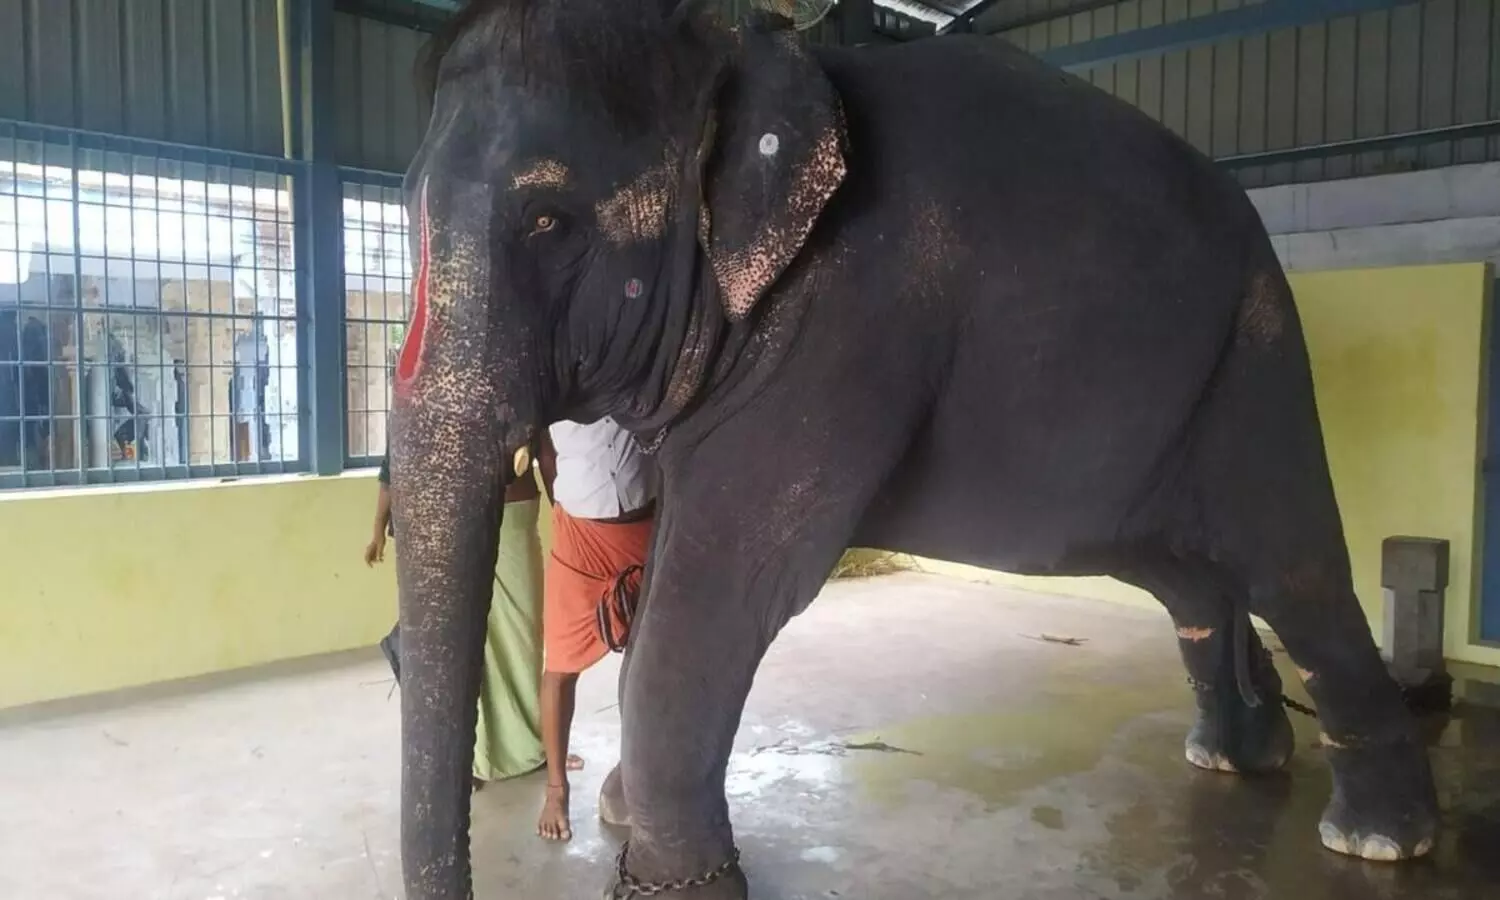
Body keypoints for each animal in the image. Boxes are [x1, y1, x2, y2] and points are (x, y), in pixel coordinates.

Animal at [386, 1, 1440, 897]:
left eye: (547, 220)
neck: (734, 49)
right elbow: (668, 573)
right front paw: (623, 817)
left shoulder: (847, 324)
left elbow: (719, 590)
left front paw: (673, 876)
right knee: (1189, 580)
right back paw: (1239, 757)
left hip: (1255, 355)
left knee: (1293, 568)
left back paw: (1380, 838)